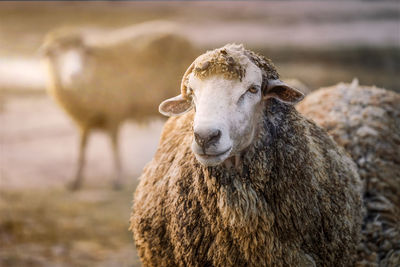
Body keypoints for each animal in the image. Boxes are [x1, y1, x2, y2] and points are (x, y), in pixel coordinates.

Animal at [40, 22, 195, 192]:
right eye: (56, 53)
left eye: (81, 52)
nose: (75, 75)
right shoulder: (83, 120)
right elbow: (82, 149)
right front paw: (75, 180)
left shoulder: (113, 113)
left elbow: (114, 146)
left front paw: (117, 179)